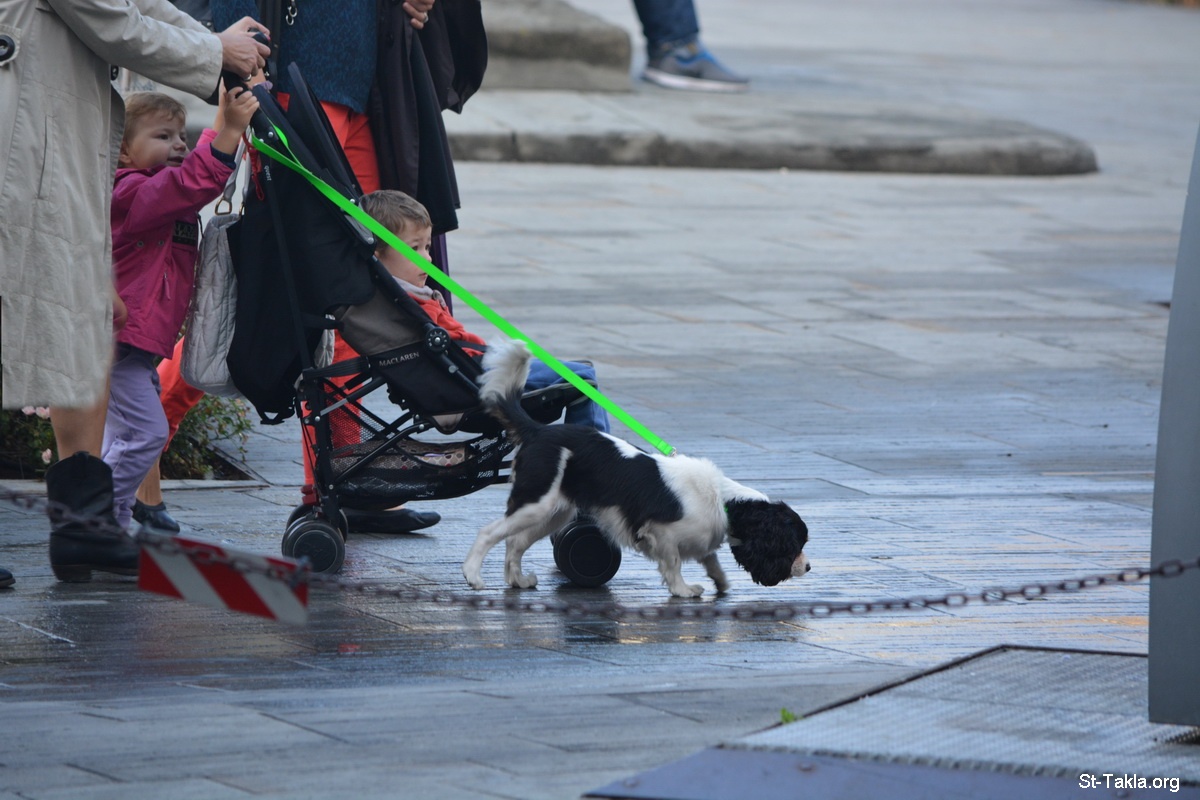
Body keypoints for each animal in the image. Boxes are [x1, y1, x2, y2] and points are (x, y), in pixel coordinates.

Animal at [462, 340, 811, 598]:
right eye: (794, 546)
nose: (808, 568)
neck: (722, 500)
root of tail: (537, 430)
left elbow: (711, 561)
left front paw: (721, 584)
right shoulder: (661, 532)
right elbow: (674, 563)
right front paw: (683, 590)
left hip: (554, 512)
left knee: (515, 542)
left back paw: (517, 581)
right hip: (536, 503)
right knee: (489, 532)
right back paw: (472, 576)